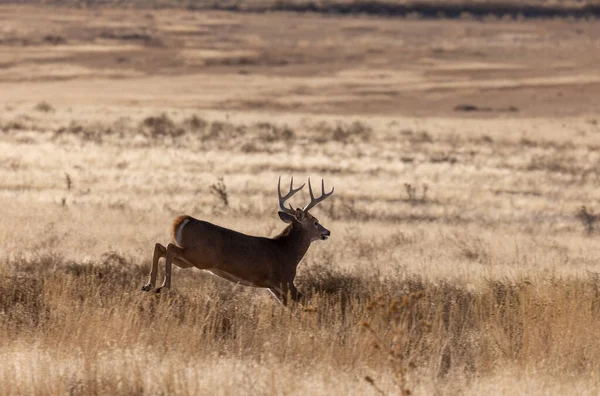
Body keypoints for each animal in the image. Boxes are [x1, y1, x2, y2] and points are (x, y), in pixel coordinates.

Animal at [143, 177, 336, 306]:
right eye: (315, 222)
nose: (327, 232)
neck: (288, 252)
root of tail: (184, 220)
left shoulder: (272, 285)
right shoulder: (284, 279)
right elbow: (300, 303)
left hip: (189, 260)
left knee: (160, 246)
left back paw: (148, 285)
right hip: (200, 256)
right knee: (169, 247)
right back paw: (162, 286)